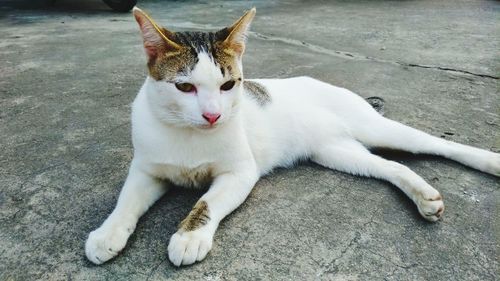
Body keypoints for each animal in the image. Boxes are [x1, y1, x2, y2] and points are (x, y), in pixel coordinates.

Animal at [85, 6, 500, 264]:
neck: (188, 134)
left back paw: (489, 161)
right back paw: (424, 196)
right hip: (336, 152)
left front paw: (189, 237)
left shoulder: (240, 173)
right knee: (389, 166)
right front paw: (108, 233)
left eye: (228, 85)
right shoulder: (146, 170)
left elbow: (205, 204)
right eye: (184, 87)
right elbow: (126, 202)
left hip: (376, 128)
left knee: (438, 144)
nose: (213, 114)